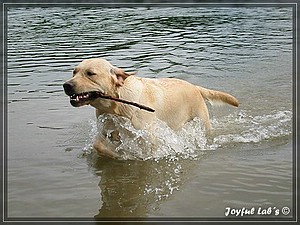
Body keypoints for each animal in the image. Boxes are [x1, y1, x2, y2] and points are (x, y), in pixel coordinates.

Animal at [63, 57, 239, 157]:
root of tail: (195, 87)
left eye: (90, 73)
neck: (116, 106)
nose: (66, 85)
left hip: (202, 121)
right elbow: (99, 145)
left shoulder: (149, 138)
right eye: (74, 72)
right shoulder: (106, 128)